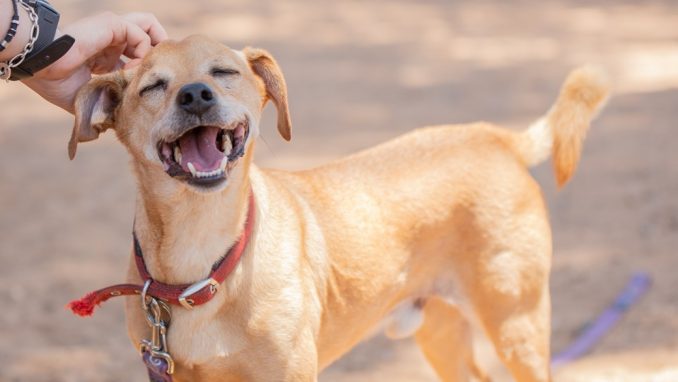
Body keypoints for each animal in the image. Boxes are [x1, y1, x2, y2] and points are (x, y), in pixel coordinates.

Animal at [67, 34, 612, 380]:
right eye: (153, 86)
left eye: (223, 72)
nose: (196, 94)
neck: (203, 263)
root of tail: (493, 136)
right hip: (443, 334)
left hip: (517, 325)